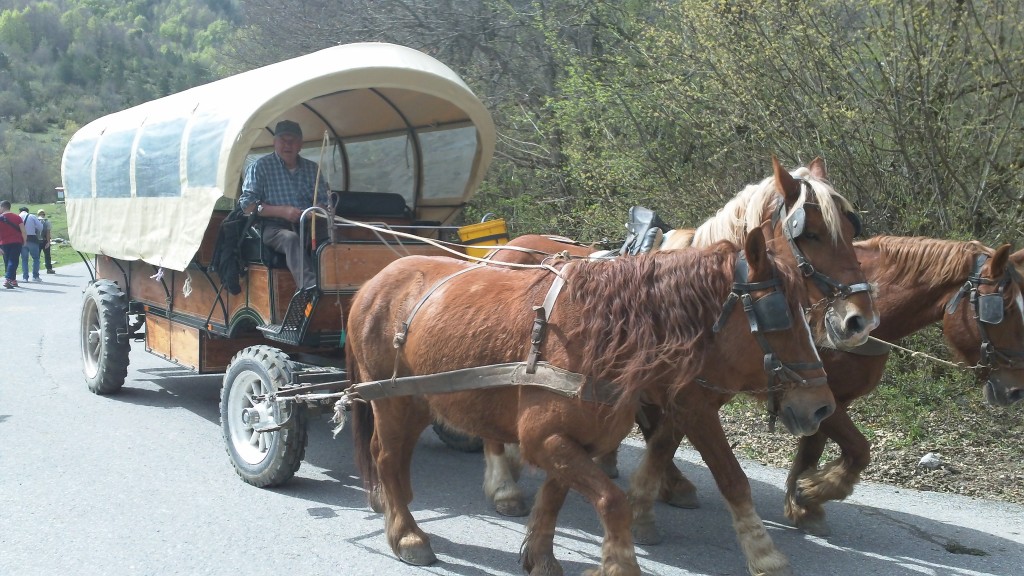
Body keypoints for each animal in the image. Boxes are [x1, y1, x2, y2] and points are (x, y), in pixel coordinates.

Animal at [346, 227, 831, 573]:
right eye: (779, 315)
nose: (822, 405)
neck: (602, 334)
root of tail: (373, 282)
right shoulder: (547, 439)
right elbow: (613, 501)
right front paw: (619, 563)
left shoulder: (576, 440)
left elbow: (554, 498)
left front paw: (541, 558)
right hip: (392, 399)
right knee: (387, 458)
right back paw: (407, 534)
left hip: (415, 400)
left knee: (390, 456)